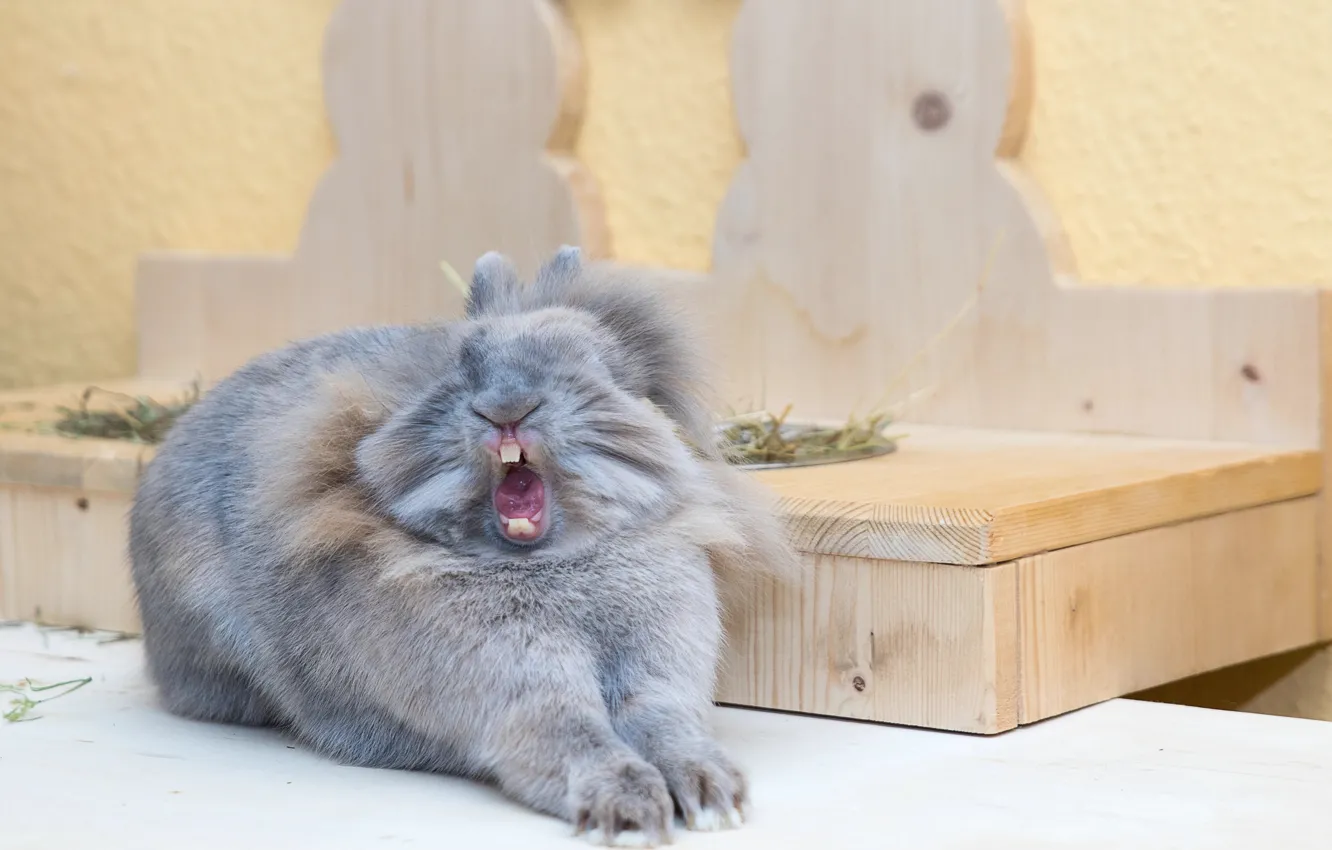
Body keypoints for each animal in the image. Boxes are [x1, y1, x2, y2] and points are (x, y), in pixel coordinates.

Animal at [128, 246, 804, 846]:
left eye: (595, 364)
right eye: (463, 362)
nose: (506, 407)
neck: (553, 561)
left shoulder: (658, 668)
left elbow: (664, 722)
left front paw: (714, 797)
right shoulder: (521, 688)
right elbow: (569, 732)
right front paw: (630, 809)